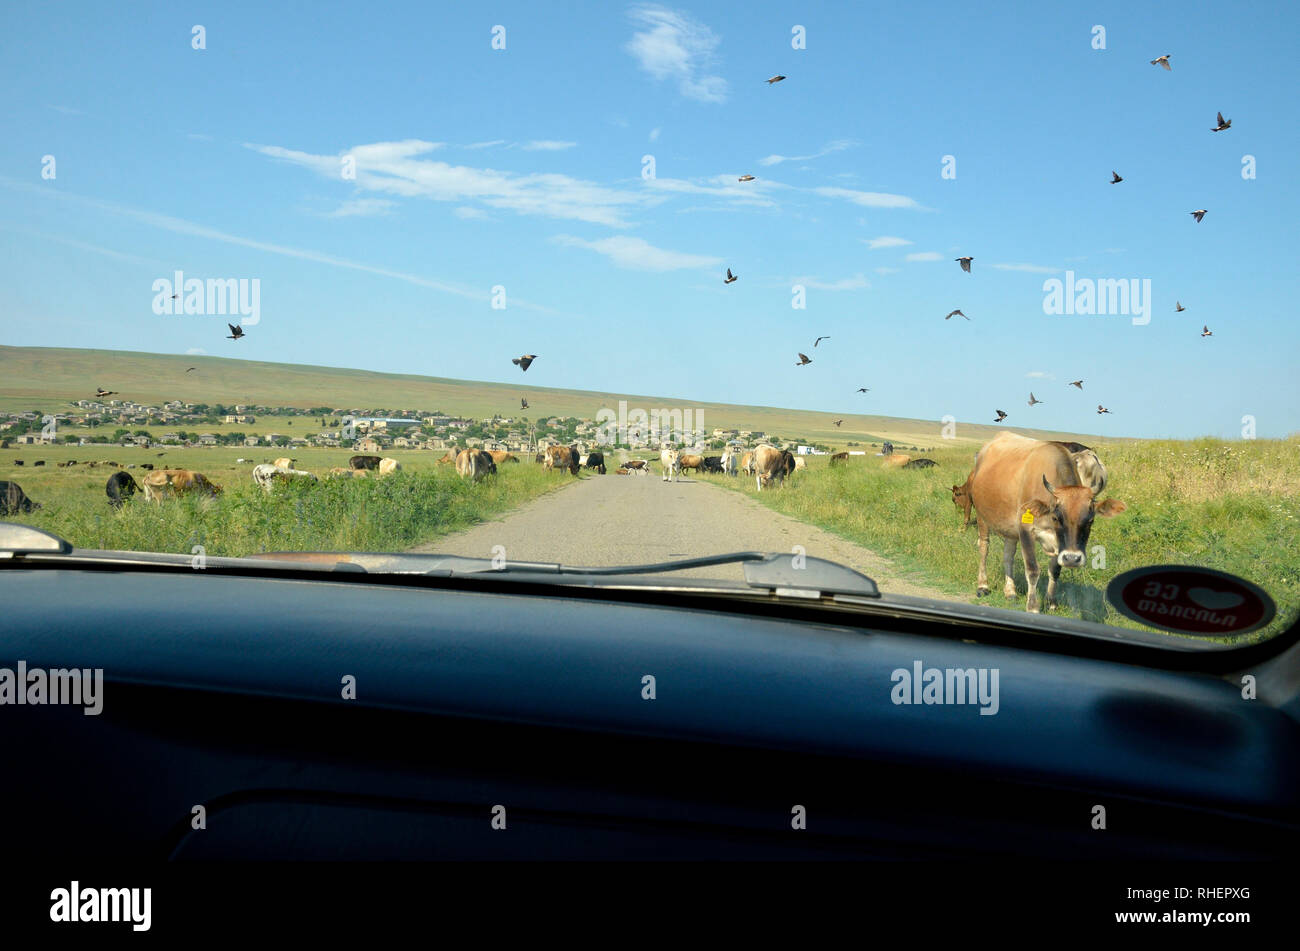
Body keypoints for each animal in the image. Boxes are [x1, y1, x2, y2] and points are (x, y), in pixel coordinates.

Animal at [972, 428, 1123, 613]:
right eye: (1057, 517)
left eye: (1090, 520)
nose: (1073, 559)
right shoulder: (1026, 530)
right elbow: (1032, 569)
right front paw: (1033, 606)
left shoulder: (1059, 543)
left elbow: (1055, 569)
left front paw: (1051, 602)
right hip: (982, 516)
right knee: (984, 547)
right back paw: (983, 586)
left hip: (1010, 528)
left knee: (1008, 554)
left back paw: (1010, 591)